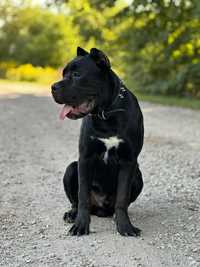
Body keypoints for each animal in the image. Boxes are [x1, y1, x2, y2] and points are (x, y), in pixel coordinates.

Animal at [50, 47, 143, 237]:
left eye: (77, 74)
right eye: (64, 74)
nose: (53, 87)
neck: (106, 113)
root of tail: (100, 208)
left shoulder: (128, 161)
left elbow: (122, 198)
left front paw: (125, 227)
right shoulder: (85, 157)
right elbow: (82, 195)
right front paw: (80, 225)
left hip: (138, 176)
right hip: (71, 168)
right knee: (76, 201)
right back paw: (72, 214)